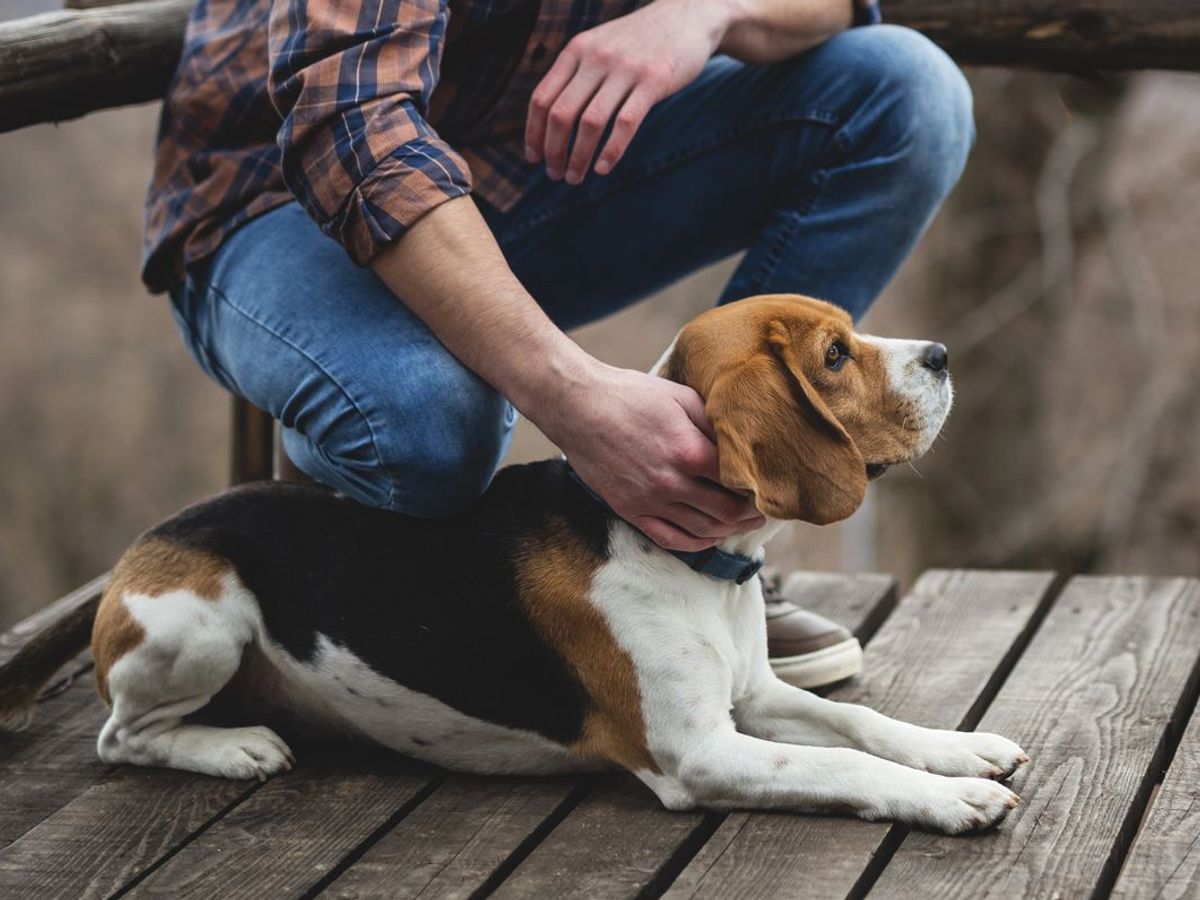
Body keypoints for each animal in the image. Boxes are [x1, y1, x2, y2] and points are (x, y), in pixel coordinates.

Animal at [4, 296, 1027, 840]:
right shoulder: (701, 752)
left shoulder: (754, 696)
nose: (941, 353)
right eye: (835, 355)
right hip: (200, 616)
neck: (681, 555)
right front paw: (951, 797)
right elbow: (848, 765)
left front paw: (956, 749)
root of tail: (150, 537)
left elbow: (858, 721)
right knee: (120, 738)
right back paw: (231, 746)